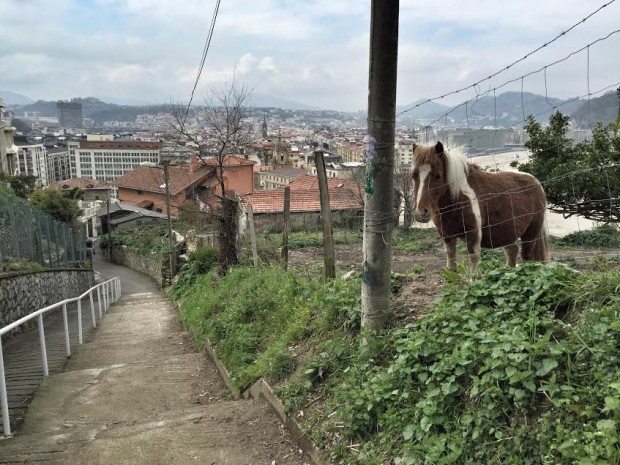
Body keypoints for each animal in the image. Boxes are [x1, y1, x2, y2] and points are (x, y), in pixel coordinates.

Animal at [412, 143, 548, 270]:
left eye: (438, 176)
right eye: (413, 175)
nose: (420, 213)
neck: (457, 199)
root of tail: (536, 182)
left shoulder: (473, 234)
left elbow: (474, 262)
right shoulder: (447, 235)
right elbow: (451, 264)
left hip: (531, 234)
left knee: (527, 257)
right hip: (508, 232)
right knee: (512, 251)